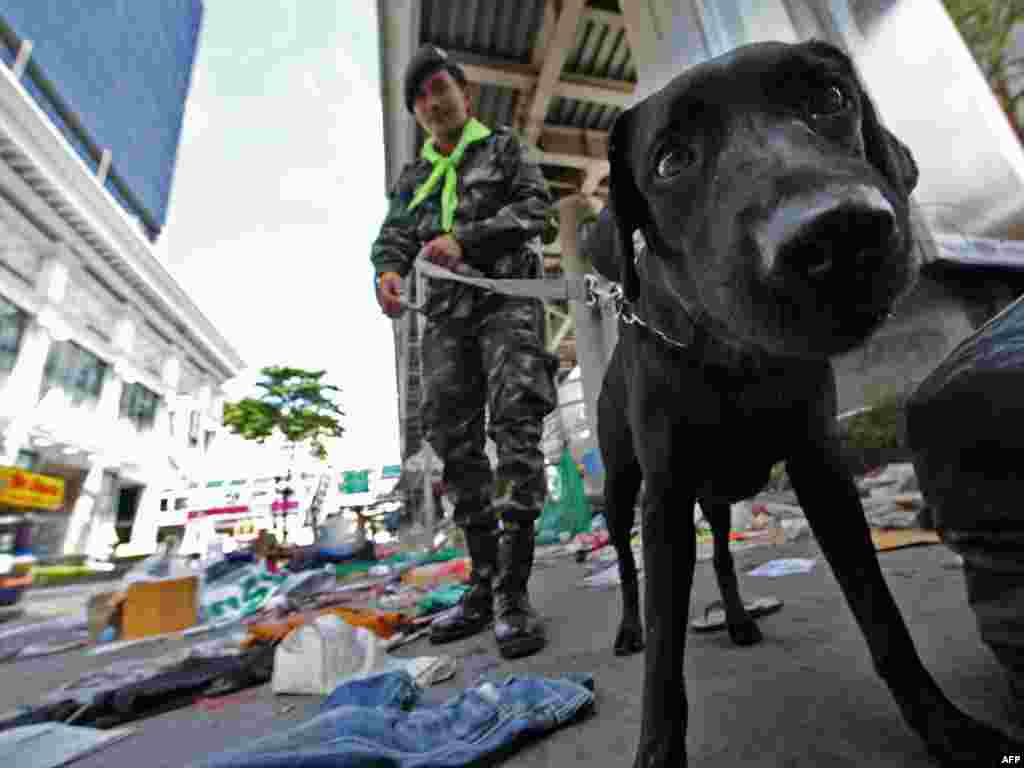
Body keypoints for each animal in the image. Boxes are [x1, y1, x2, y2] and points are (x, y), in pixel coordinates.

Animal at [585, 41, 1024, 768]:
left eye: (829, 98)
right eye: (671, 160)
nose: (839, 234)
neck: (734, 362)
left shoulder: (822, 471)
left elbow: (882, 617)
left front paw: (946, 727)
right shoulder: (665, 499)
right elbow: (664, 657)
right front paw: (657, 748)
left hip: (718, 499)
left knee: (724, 556)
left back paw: (737, 619)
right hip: (623, 488)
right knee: (623, 563)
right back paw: (624, 627)